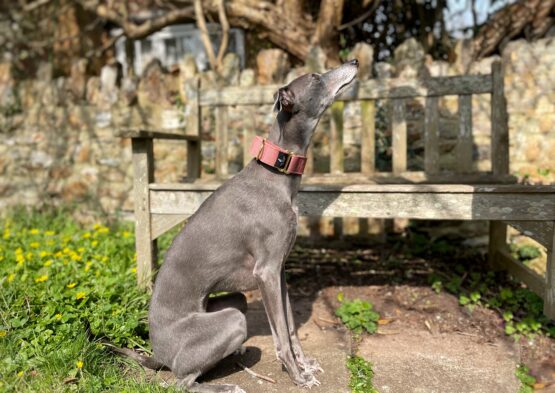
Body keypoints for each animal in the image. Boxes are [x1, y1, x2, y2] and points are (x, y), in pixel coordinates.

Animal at [125, 59, 358, 392]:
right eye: (315, 77)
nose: (353, 61)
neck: (276, 174)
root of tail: (158, 354)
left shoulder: (279, 271)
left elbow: (290, 327)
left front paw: (305, 365)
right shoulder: (266, 271)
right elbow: (281, 335)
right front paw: (297, 375)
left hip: (236, 301)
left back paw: (238, 353)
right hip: (232, 321)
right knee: (181, 382)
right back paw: (226, 385)